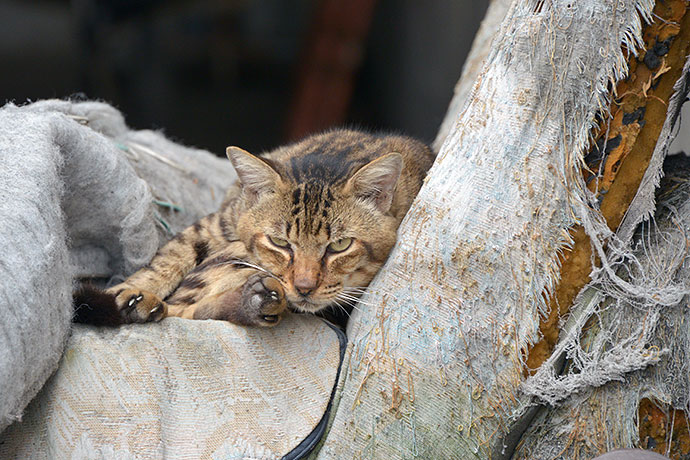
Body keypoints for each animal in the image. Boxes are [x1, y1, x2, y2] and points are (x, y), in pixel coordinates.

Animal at [74, 128, 430, 328]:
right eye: (279, 242)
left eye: (339, 246)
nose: (303, 288)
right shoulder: (215, 224)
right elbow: (164, 261)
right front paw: (123, 291)